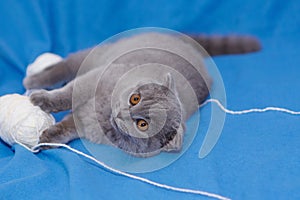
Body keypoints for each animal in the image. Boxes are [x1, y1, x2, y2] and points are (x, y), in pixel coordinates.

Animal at [23, 32, 260, 157]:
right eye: (134, 98)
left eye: (142, 124)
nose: (120, 114)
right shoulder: (96, 78)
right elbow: (68, 93)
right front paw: (42, 100)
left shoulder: (84, 123)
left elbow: (67, 128)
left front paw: (45, 140)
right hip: (99, 55)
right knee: (67, 64)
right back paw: (34, 80)